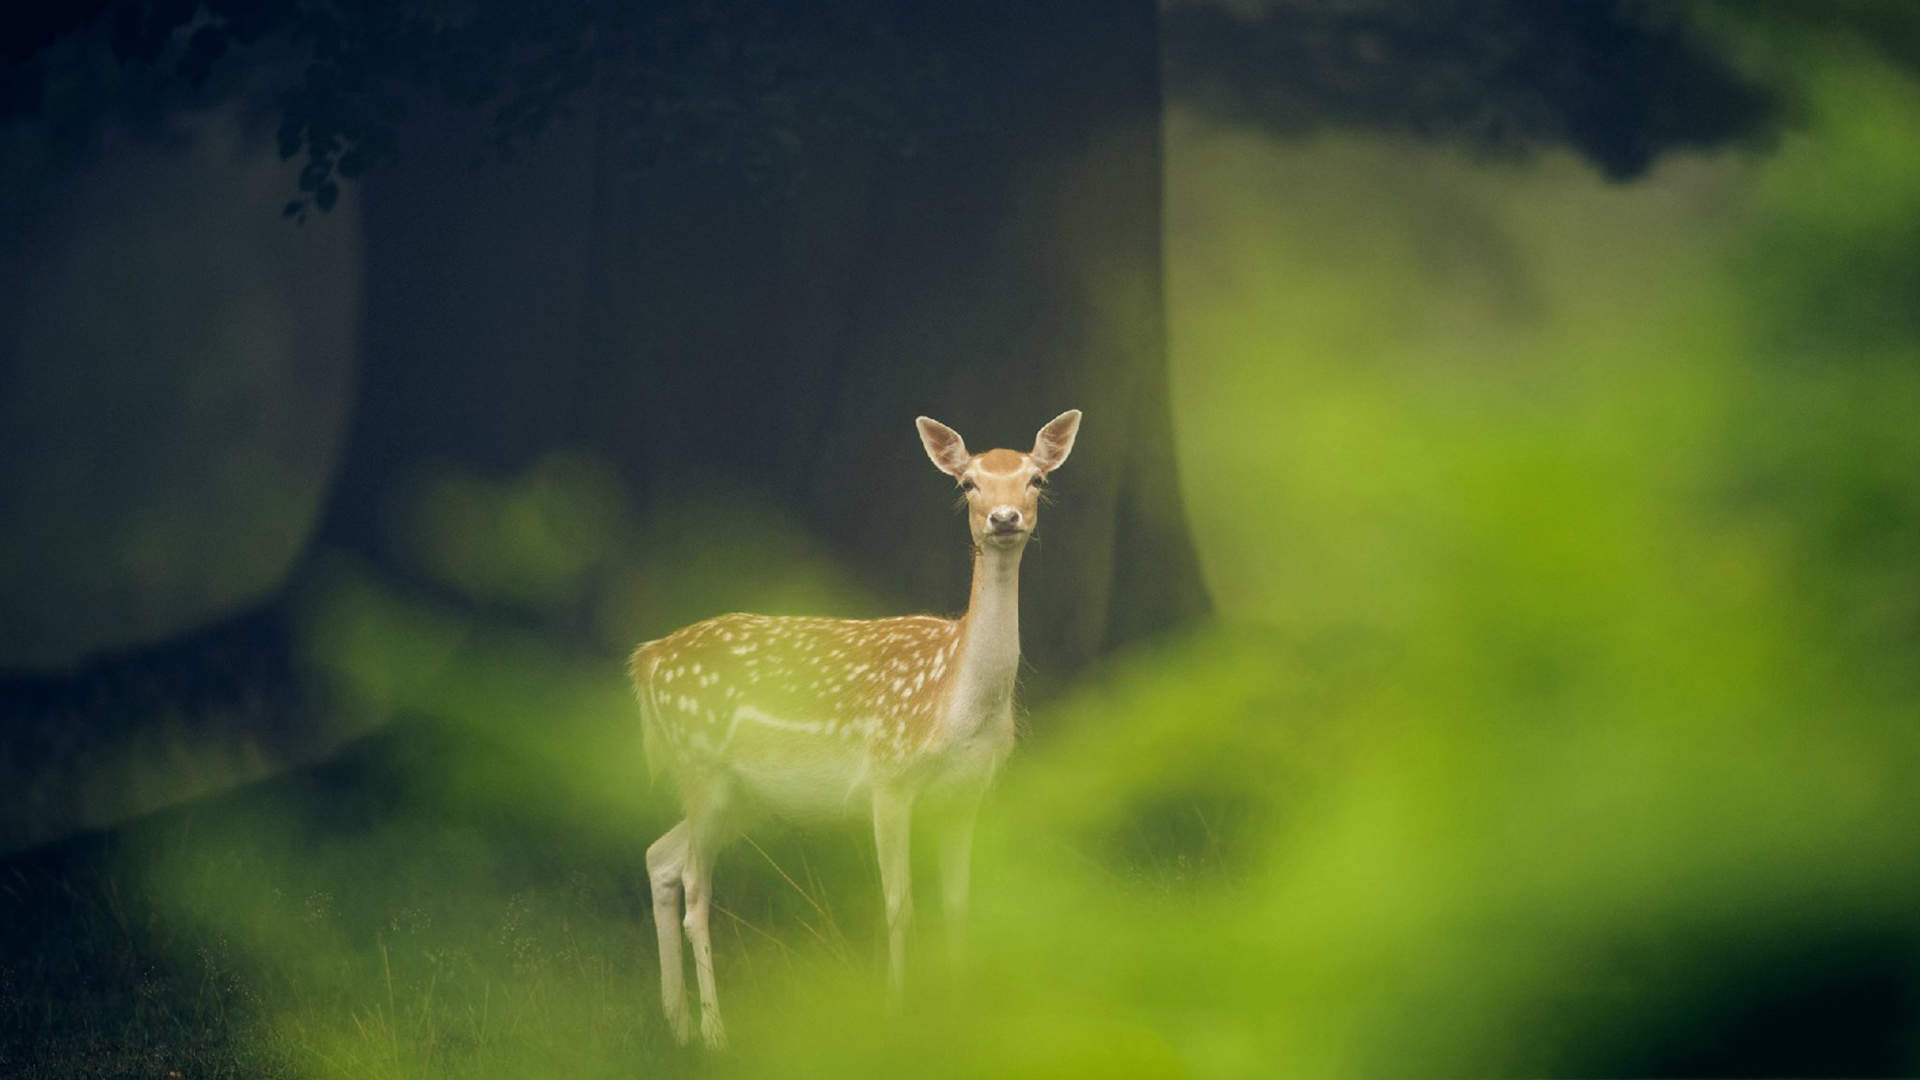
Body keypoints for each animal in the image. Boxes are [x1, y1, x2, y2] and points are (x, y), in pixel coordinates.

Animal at [628, 409, 1081, 1047]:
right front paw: (894, 1018)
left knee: (660, 858)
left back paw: (677, 1023)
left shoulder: (966, 796)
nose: (1003, 517)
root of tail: (646, 660)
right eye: (967, 482)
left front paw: (961, 1023)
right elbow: (898, 905)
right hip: (702, 767)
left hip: (742, 797)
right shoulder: (888, 779)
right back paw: (716, 1033)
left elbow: (960, 905)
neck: (956, 706)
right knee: (696, 891)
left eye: (1035, 479)